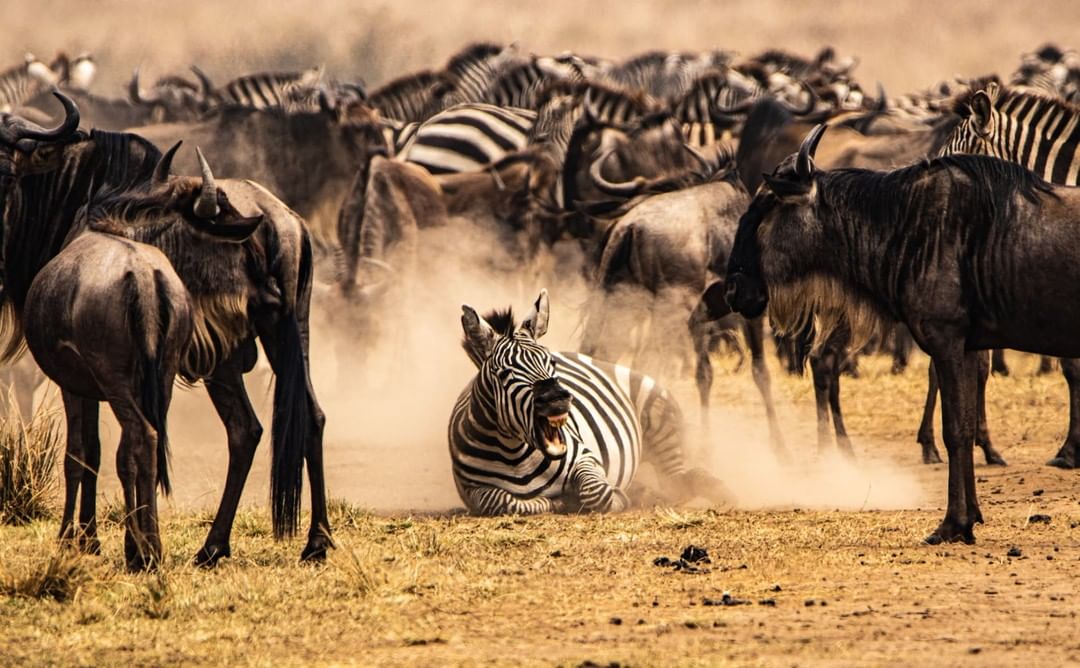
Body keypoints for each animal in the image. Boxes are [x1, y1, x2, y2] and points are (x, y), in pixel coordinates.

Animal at [447, 289, 725, 515]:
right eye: (504, 373)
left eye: (551, 362)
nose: (557, 399)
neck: (514, 455)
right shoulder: (472, 491)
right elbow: (503, 502)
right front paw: (556, 502)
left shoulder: (585, 458)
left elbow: (596, 492)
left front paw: (616, 498)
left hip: (659, 416)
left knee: (679, 480)